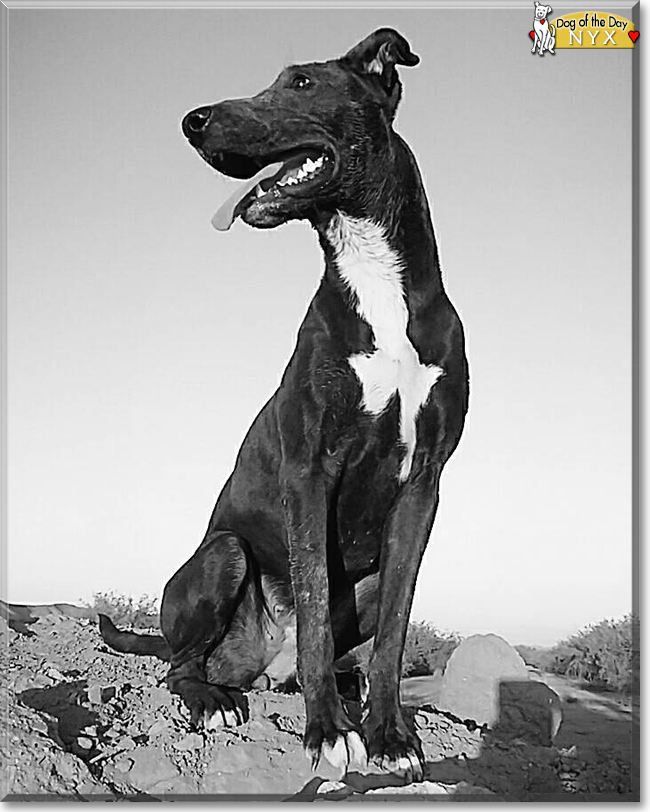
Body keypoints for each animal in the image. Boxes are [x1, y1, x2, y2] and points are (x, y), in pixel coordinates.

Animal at [100, 28, 466, 780]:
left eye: (300, 83)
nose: (193, 121)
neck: (373, 277)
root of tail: (264, 665)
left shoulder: (424, 486)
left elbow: (394, 632)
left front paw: (389, 736)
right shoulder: (310, 469)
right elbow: (317, 614)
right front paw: (328, 732)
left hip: (361, 581)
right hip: (224, 555)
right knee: (180, 665)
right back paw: (214, 699)